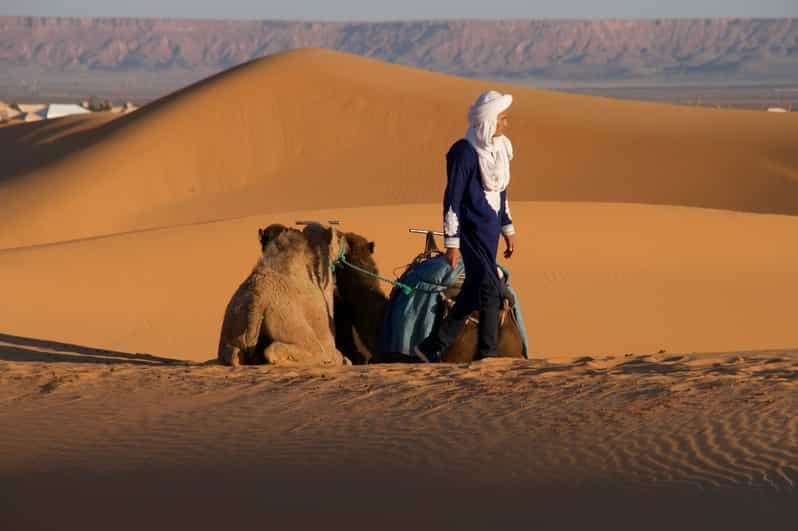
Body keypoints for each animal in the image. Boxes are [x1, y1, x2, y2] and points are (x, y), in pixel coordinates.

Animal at [217, 223, 349, 367]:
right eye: (339, 238)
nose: (347, 243)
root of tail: (256, 303)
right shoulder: (326, 336)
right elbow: (339, 356)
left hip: (232, 331)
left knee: (234, 354)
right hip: (289, 322)